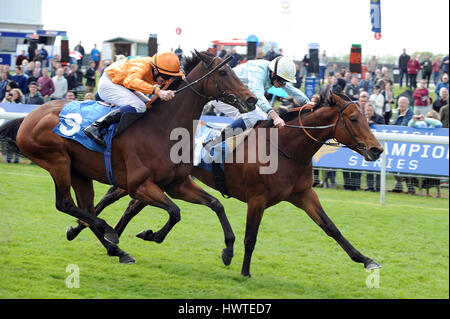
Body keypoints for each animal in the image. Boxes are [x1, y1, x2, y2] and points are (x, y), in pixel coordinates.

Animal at [0, 51, 255, 264]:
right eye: (223, 72)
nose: (251, 99)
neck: (162, 128)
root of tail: (28, 118)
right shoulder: (139, 185)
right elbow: (175, 212)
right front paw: (151, 234)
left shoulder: (176, 184)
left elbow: (216, 204)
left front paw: (228, 250)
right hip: (57, 161)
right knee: (66, 204)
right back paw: (109, 233)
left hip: (79, 172)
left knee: (87, 209)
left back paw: (116, 250)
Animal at [66, 85, 384, 278]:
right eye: (353, 119)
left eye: (366, 117)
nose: (377, 149)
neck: (283, 148)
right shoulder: (257, 199)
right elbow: (250, 237)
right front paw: (244, 271)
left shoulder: (304, 194)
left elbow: (331, 228)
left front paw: (366, 259)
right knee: (111, 197)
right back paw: (84, 230)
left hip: (164, 181)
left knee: (131, 206)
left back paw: (112, 238)